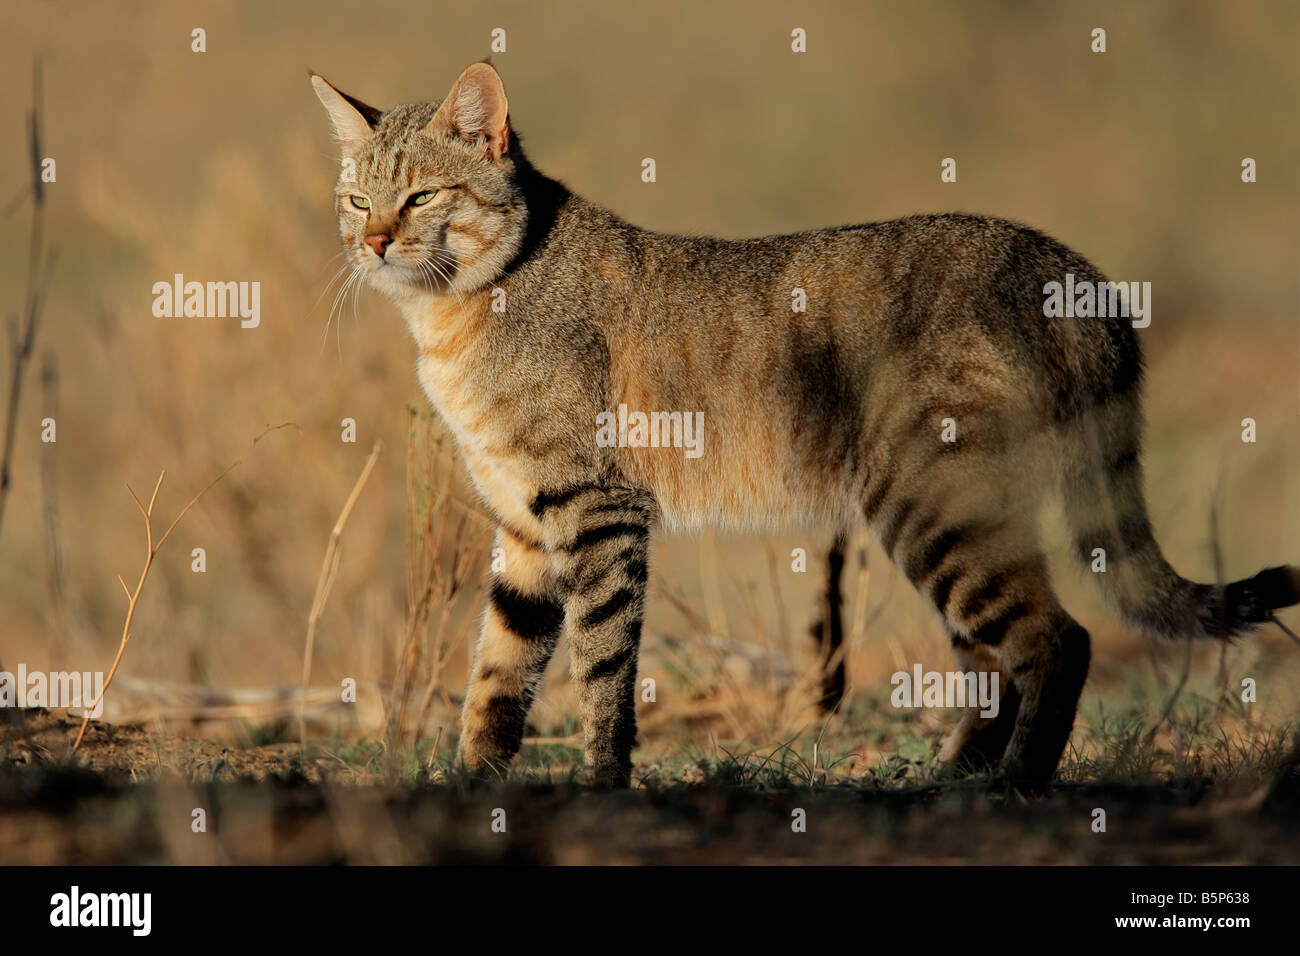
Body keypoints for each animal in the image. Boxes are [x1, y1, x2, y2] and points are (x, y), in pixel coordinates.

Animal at [312, 63, 1300, 790]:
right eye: (358, 201)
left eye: (424, 196)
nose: (373, 244)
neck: (452, 319)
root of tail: (1069, 266)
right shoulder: (523, 525)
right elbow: (497, 672)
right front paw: (471, 786)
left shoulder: (597, 507)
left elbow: (599, 666)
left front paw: (602, 783)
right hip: (953, 520)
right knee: (993, 661)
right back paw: (952, 779)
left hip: (934, 508)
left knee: (1058, 642)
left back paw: (1015, 787)